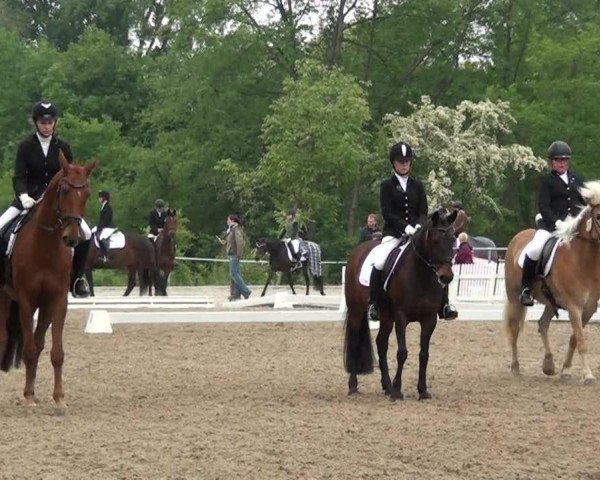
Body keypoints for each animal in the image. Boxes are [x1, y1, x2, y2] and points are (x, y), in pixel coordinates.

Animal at [0, 153, 95, 412]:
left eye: (87, 193)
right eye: (63, 190)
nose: (71, 238)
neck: (45, 246)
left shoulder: (57, 300)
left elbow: (55, 352)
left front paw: (59, 399)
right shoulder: (26, 300)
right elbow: (29, 349)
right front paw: (29, 398)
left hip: (44, 306)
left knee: (39, 341)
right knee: (4, 339)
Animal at [342, 208, 460, 400]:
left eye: (453, 239)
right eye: (435, 240)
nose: (446, 277)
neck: (420, 275)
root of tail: (357, 250)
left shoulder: (429, 319)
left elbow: (424, 354)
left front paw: (422, 390)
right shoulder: (401, 316)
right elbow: (402, 352)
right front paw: (398, 390)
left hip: (386, 317)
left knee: (381, 344)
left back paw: (386, 386)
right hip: (356, 311)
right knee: (355, 341)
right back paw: (354, 386)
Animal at [504, 182, 600, 384]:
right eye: (597, 216)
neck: (583, 259)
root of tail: (519, 236)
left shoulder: (589, 308)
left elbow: (574, 338)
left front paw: (566, 370)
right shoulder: (574, 306)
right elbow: (581, 341)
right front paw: (588, 375)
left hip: (550, 301)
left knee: (542, 325)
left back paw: (548, 365)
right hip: (515, 298)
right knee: (515, 329)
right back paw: (516, 368)